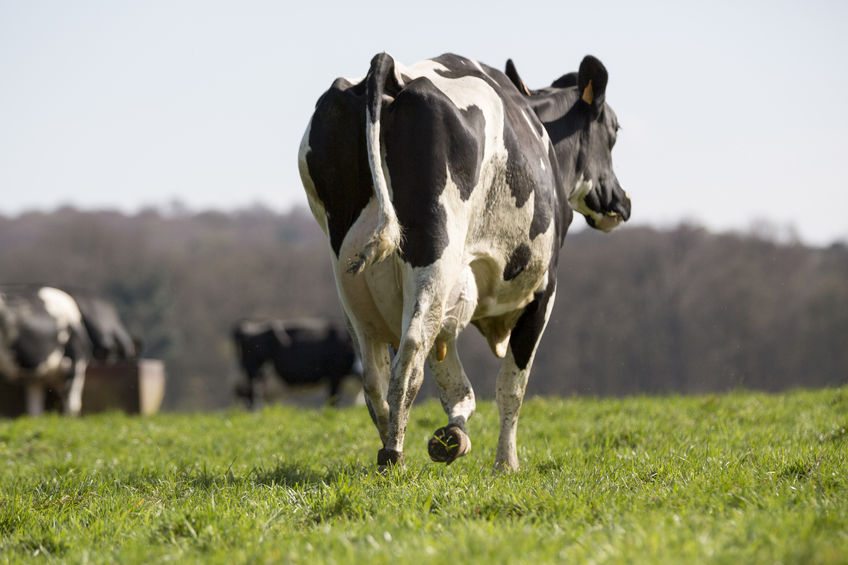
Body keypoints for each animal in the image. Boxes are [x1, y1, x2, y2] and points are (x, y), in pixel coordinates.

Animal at [232, 318, 362, 406]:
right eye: (356, 353)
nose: (359, 371)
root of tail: (246, 326)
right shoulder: (335, 374)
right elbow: (333, 400)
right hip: (255, 370)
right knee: (253, 394)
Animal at [298, 53, 628, 470]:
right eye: (613, 131)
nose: (621, 201)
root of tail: (392, 70)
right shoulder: (544, 290)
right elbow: (511, 386)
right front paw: (506, 464)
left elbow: (456, 386)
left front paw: (453, 437)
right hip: (433, 254)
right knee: (410, 353)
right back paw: (394, 454)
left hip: (350, 275)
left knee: (374, 374)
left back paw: (389, 443)